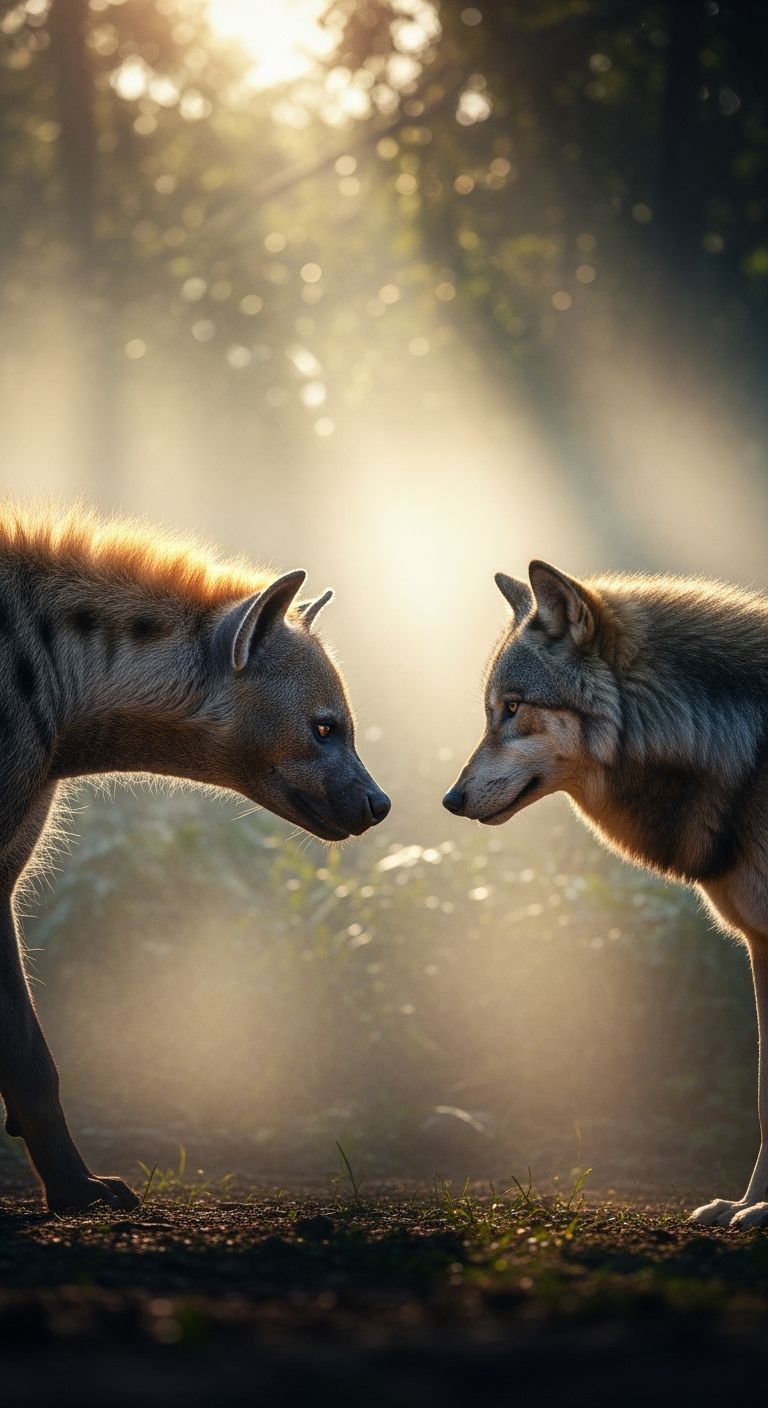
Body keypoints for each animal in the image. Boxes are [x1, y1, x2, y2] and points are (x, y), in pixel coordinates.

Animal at [0, 503, 390, 1211]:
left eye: (343, 724)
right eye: (325, 726)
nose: (381, 803)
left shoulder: (5, 866)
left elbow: (29, 1051)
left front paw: (78, 1188)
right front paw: (79, 1191)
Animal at [443, 559, 768, 1229]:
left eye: (512, 708)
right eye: (490, 711)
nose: (451, 800)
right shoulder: (758, 945)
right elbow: (762, 1095)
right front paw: (750, 1205)